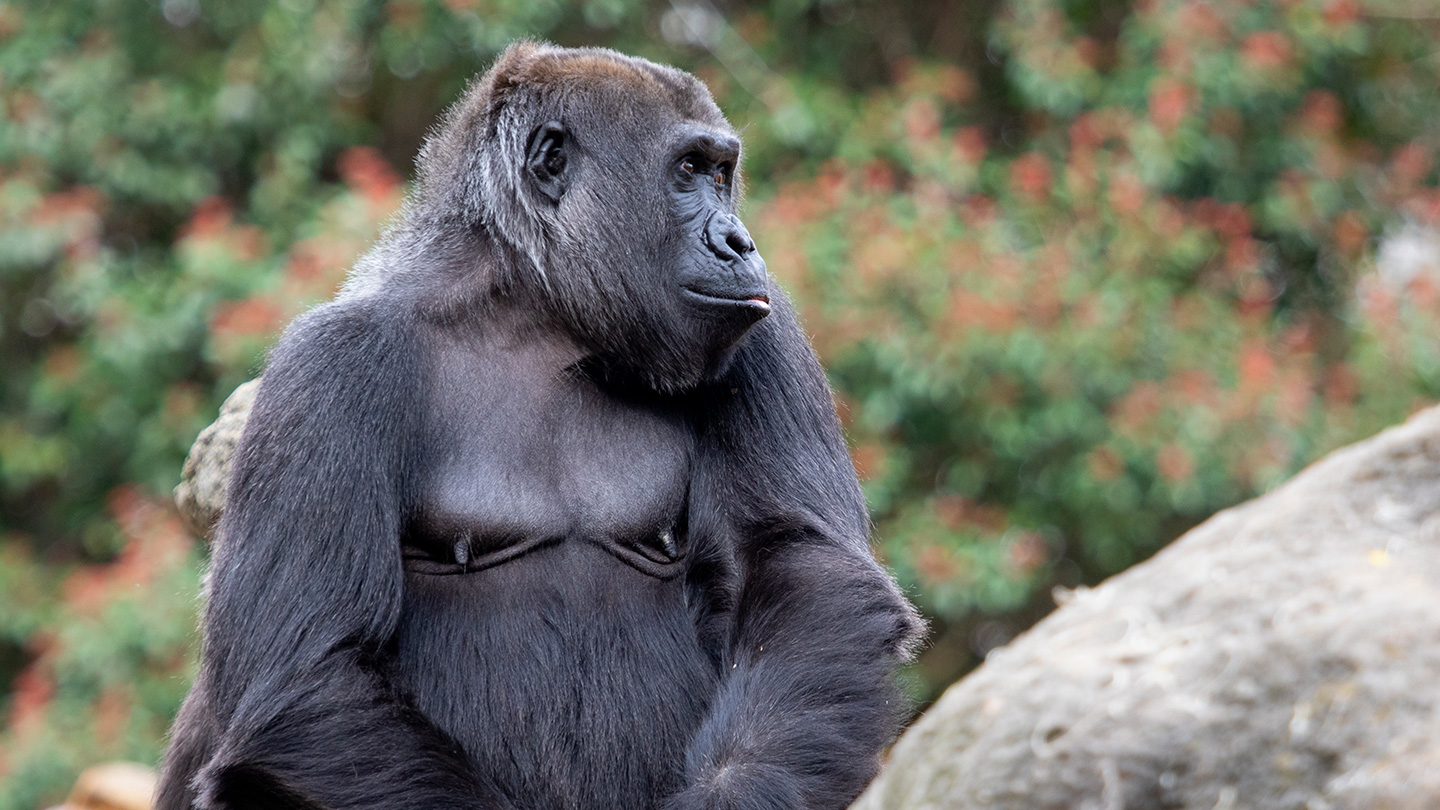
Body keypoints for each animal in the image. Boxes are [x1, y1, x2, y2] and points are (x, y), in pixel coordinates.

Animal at [157, 41, 921, 807]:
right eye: (687, 170)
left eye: (721, 174)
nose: (739, 242)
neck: (538, 314)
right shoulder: (326, 365)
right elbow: (309, 666)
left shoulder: (767, 331)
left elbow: (804, 569)